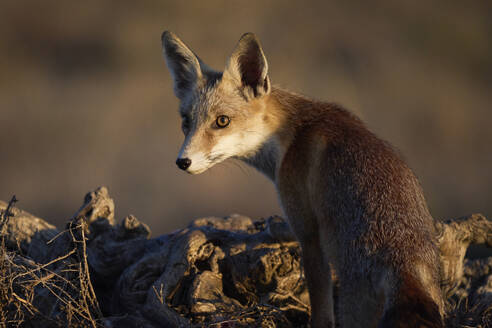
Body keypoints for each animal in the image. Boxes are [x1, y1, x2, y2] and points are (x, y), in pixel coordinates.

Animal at [161, 31, 446, 328]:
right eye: (186, 121)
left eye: (222, 121)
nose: (182, 162)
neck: (291, 134)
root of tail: (405, 261)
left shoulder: (308, 233)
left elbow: (321, 309)